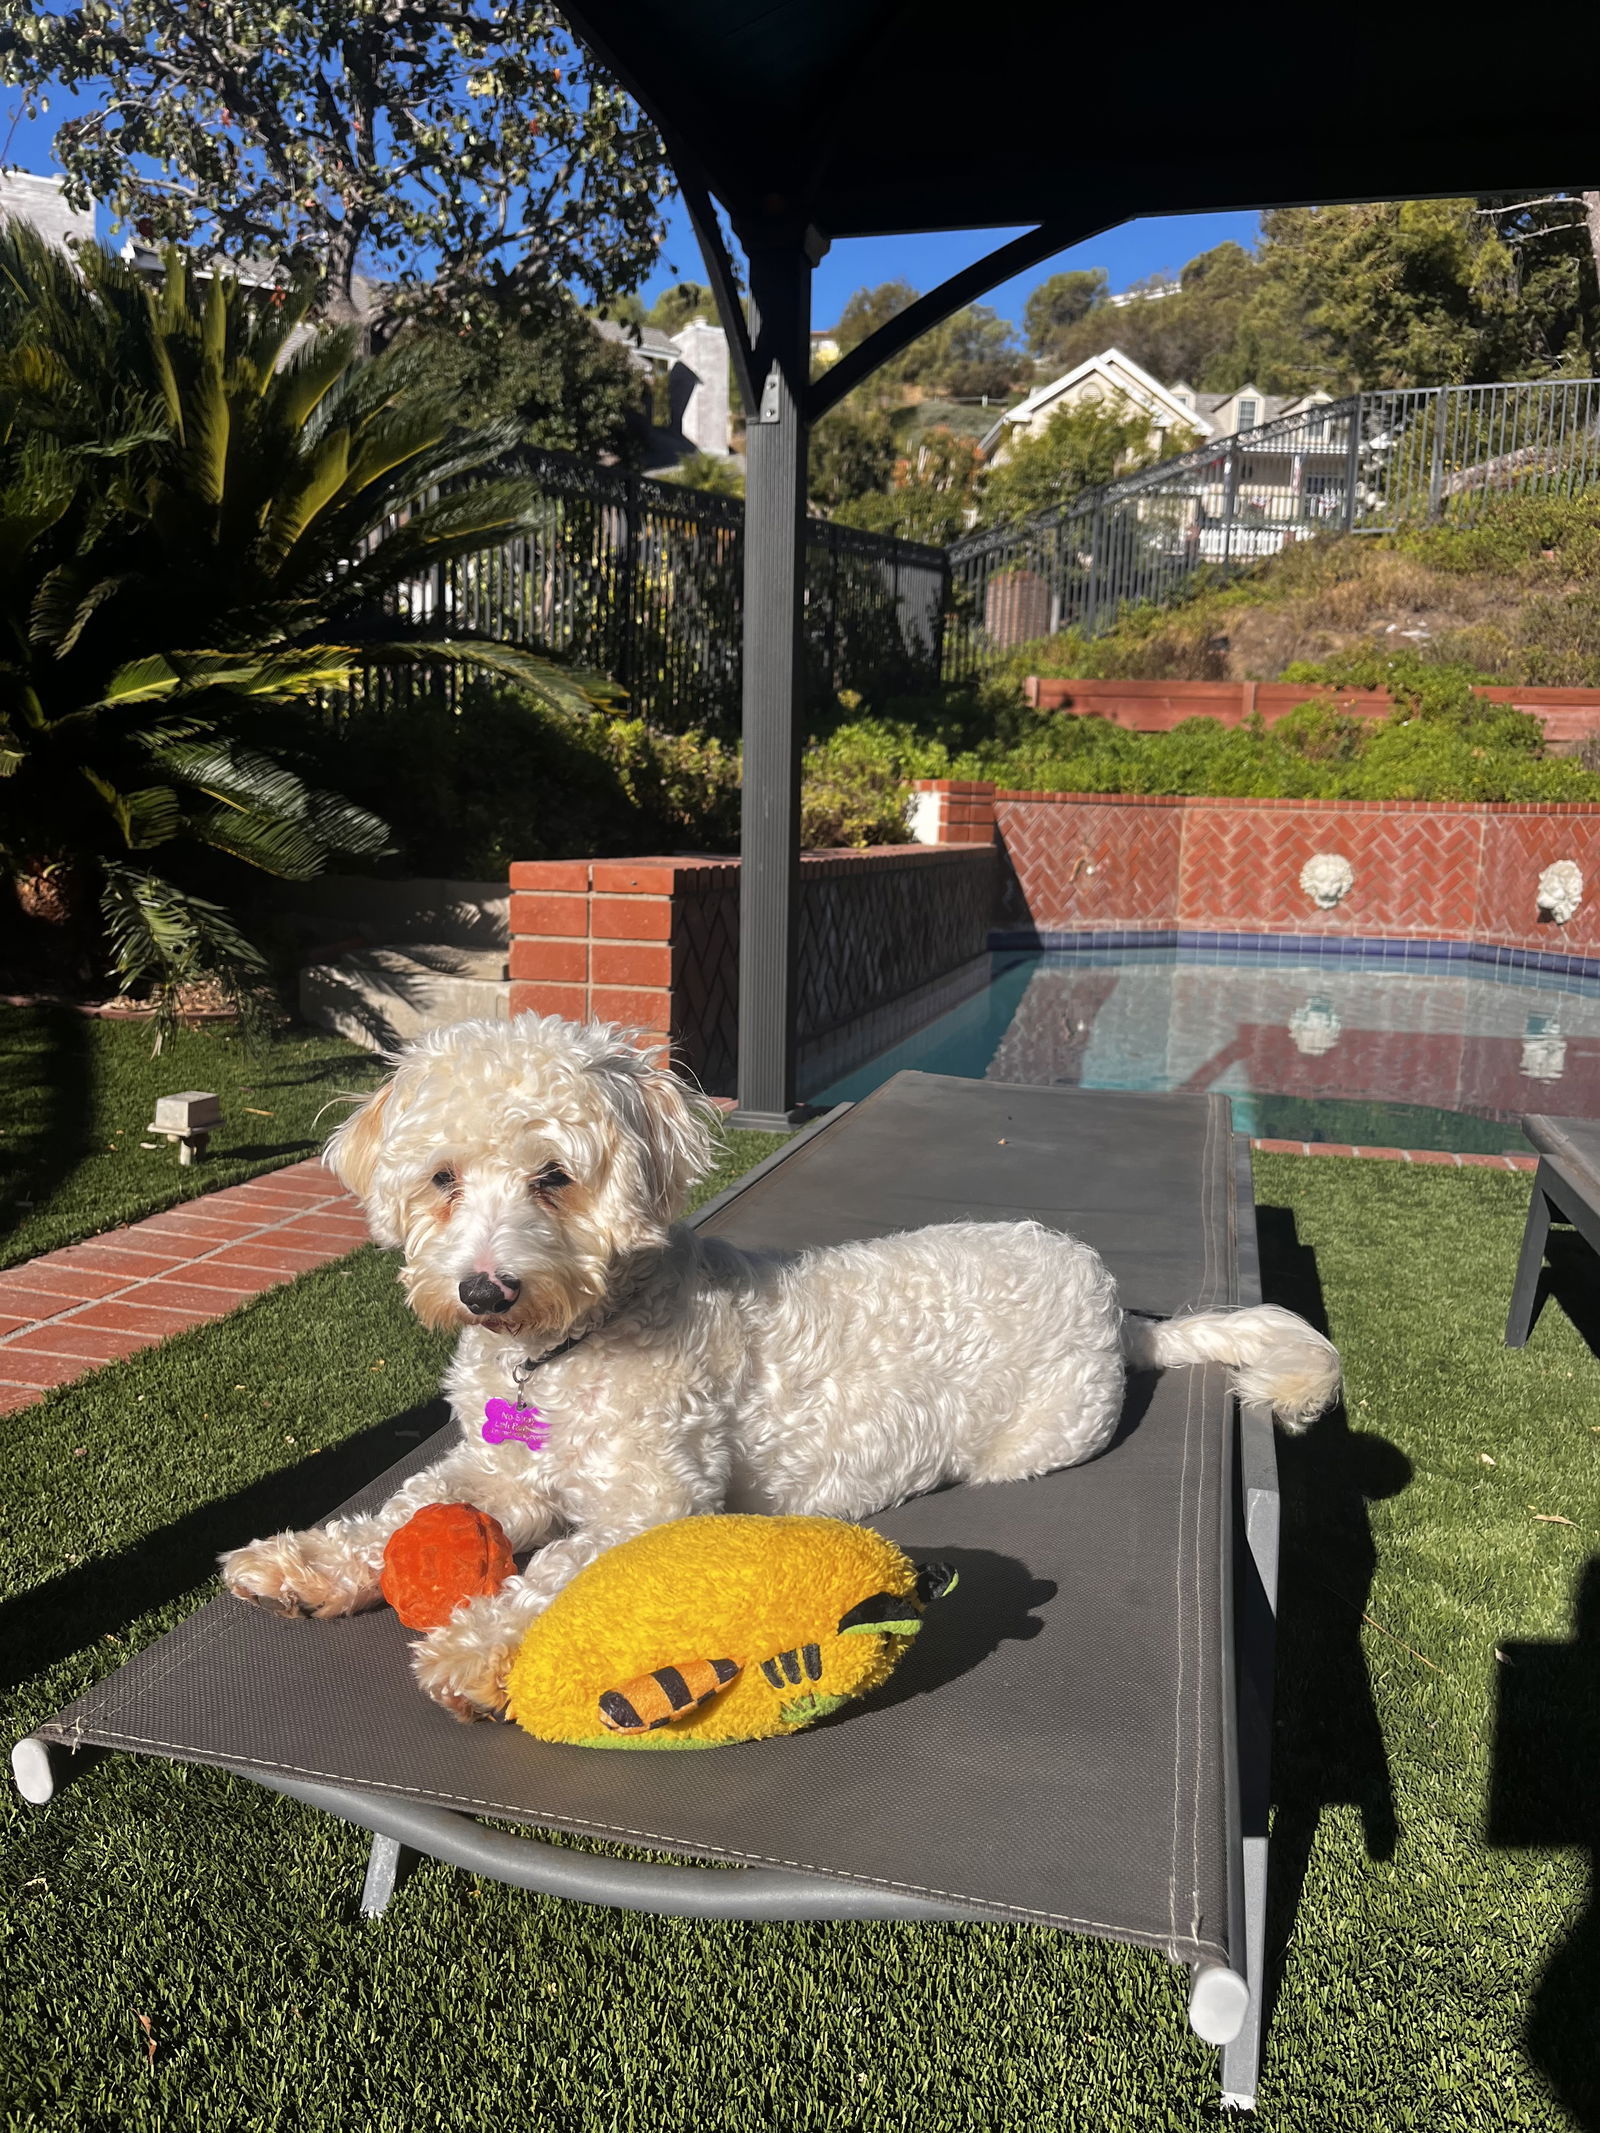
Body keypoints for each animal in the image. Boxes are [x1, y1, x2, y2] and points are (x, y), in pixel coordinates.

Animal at [219, 1006, 1331, 1723]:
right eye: (443, 1178)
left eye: (555, 1178)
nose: (484, 1291)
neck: (564, 1346)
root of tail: (1117, 1307)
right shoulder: (492, 1466)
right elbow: (410, 1508)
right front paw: (305, 1561)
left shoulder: (656, 1506)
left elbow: (561, 1572)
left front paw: (478, 1647)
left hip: (1041, 1438)